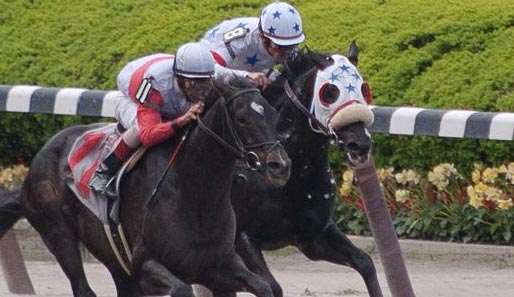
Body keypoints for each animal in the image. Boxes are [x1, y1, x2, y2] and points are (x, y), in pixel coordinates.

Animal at [0, 78, 290, 296]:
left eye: (273, 113)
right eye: (241, 117)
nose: (281, 165)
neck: (195, 195)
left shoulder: (219, 267)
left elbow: (265, 287)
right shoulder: (144, 265)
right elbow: (181, 289)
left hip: (114, 259)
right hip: (59, 236)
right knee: (82, 286)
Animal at [204, 47, 380, 294]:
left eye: (364, 88)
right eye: (330, 92)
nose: (360, 145)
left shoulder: (313, 236)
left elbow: (365, 262)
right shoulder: (243, 239)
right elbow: (273, 287)